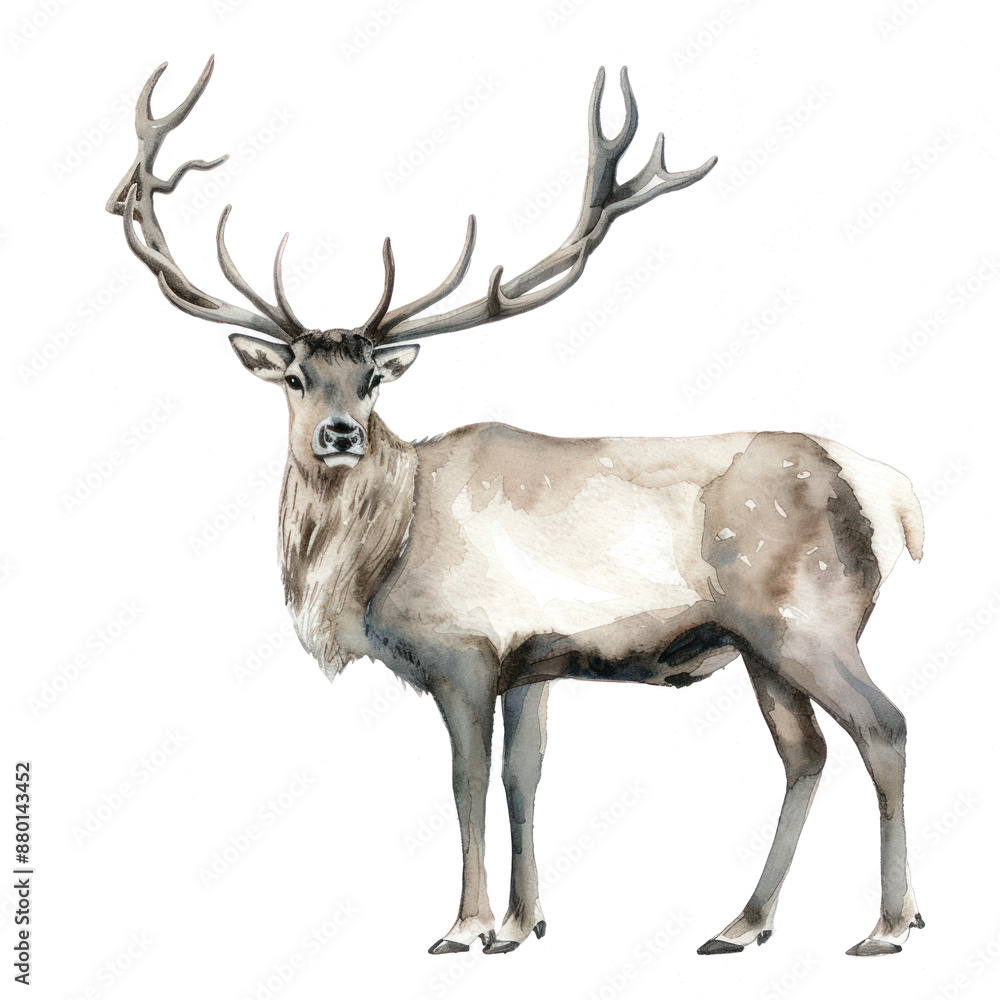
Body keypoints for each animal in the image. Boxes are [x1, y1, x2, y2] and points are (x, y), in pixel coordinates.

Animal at [107, 56, 926, 959]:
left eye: (372, 379)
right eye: (295, 377)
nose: (339, 433)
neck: (374, 561)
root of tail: (892, 493)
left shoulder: (463, 651)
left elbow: (466, 781)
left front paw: (463, 925)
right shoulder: (531, 661)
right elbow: (521, 777)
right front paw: (521, 922)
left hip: (810, 620)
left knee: (884, 728)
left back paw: (890, 923)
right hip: (758, 644)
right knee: (805, 752)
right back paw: (744, 924)